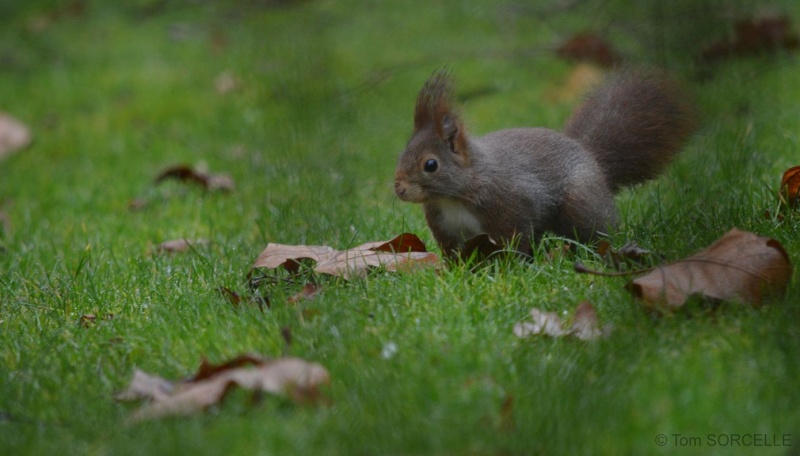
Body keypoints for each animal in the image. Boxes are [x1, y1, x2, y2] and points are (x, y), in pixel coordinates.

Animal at [396, 69, 696, 258]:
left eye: (431, 165)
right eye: (401, 154)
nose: (399, 188)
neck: (455, 195)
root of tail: (592, 159)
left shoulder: (510, 206)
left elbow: (514, 242)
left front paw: (508, 268)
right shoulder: (445, 228)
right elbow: (453, 254)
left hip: (579, 202)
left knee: (596, 231)